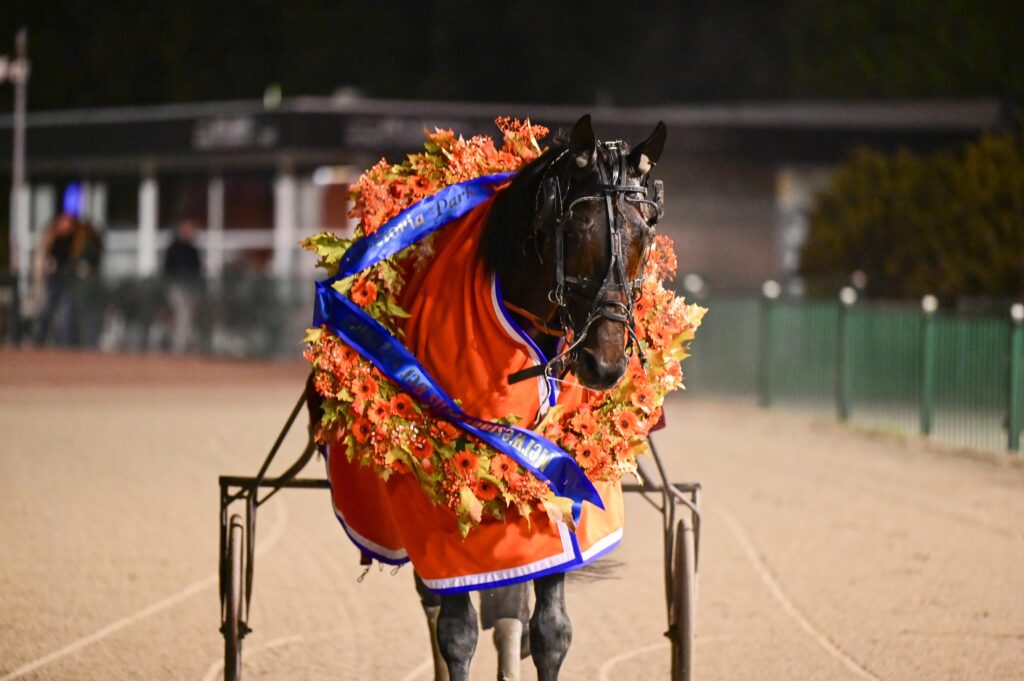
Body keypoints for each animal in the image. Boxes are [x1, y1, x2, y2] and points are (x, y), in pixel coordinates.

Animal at [308, 114, 666, 681]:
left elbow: (551, 631)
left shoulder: (560, 493)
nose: (605, 363)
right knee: (437, 609)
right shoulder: (441, 520)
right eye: (574, 229)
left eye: (645, 232)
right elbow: (456, 633)